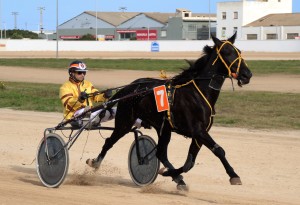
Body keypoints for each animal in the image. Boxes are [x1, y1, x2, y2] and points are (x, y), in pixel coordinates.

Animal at [87, 32, 253, 190]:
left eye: (238, 51)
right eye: (226, 52)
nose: (247, 74)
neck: (198, 93)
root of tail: (128, 88)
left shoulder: (199, 134)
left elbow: (189, 163)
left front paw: (170, 173)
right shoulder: (198, 131)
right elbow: (219, 151)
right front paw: (234, 175)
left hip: (164, 128)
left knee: (160, 153)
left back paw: (177, 179)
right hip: (125, 122)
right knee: (109, 141)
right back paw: (95, 162)